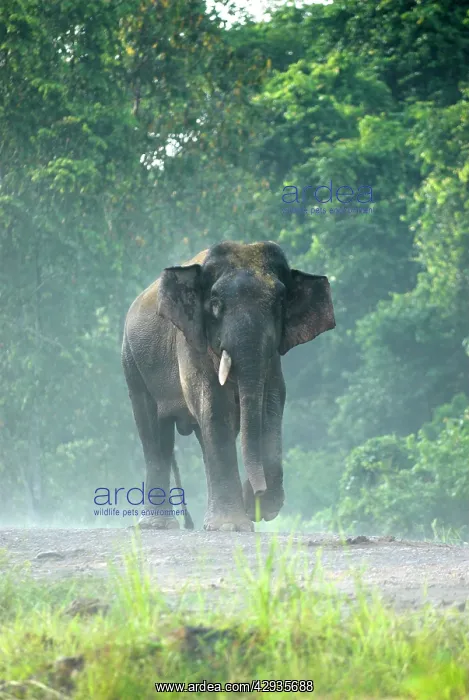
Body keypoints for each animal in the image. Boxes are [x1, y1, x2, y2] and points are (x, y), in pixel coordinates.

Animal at [121, 240, 335, 531]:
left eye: (280, 303)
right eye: (215, 304)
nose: (257, 491)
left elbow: (272, 403)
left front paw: (259, 510)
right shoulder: (191, 340)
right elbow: (214, 404)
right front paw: (232, 526)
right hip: (132, 363)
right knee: (154, 431)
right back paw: (158, 525)